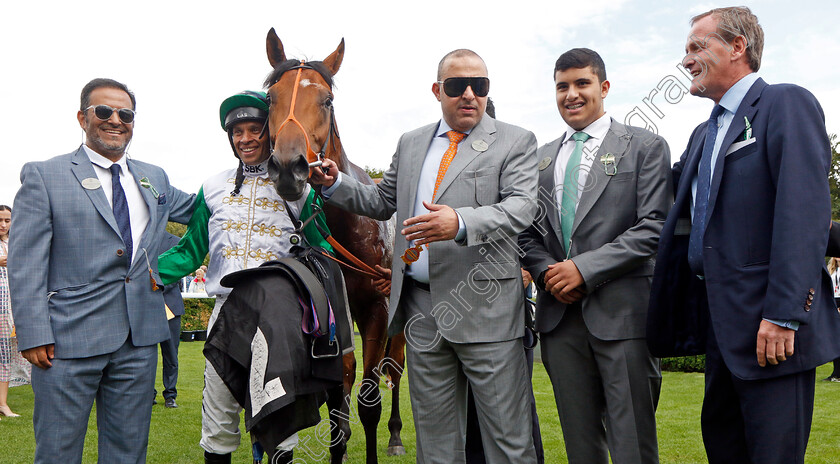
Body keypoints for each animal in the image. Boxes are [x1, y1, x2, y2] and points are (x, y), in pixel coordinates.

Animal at [262, 29, 406, 464]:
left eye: (326, 100)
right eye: (271, 98)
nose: (288, 166)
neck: (349, 228)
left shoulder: (378, 308)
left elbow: (369, 400)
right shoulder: (334, 313)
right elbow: (339, 406)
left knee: (396, 369)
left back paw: (396, 434)